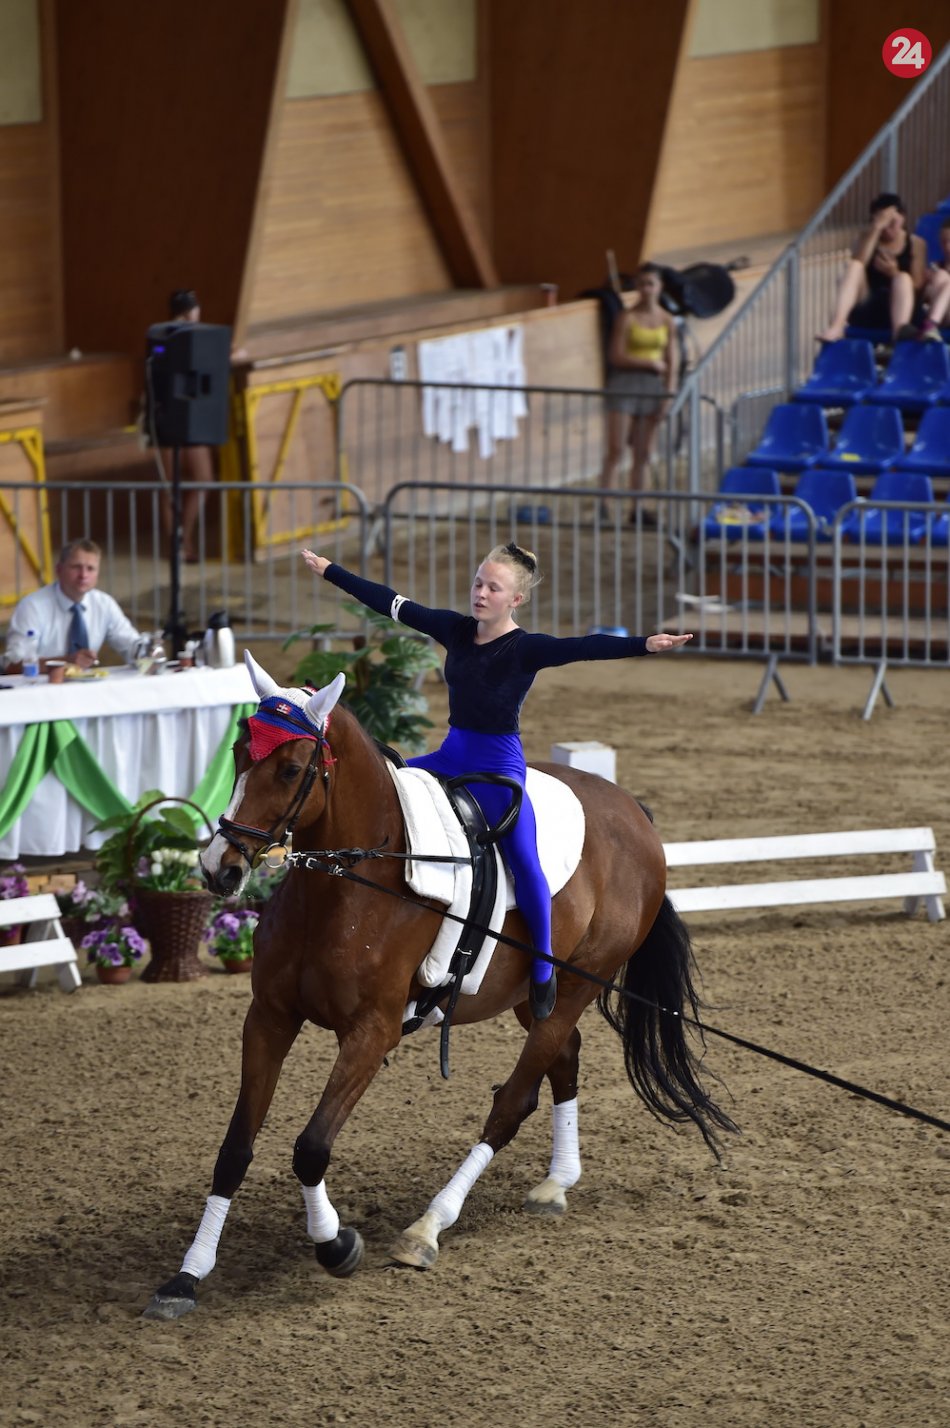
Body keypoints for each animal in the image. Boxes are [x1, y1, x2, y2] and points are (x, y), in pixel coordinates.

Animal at [143, 654, 736, 1319]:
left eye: (292, 768)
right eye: (240, 754)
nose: (219, 869)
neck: (349, 887)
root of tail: (633, 811)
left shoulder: (371, 1033)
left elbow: (311, 1147)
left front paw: (336, 1245)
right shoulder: (269, 1017)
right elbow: (235, 1148)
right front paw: (187, 1276)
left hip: (578, 986)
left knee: (513, 1102)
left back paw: (428, 1227)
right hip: (536, 994)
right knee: (565, 1057)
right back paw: (556, 1184)